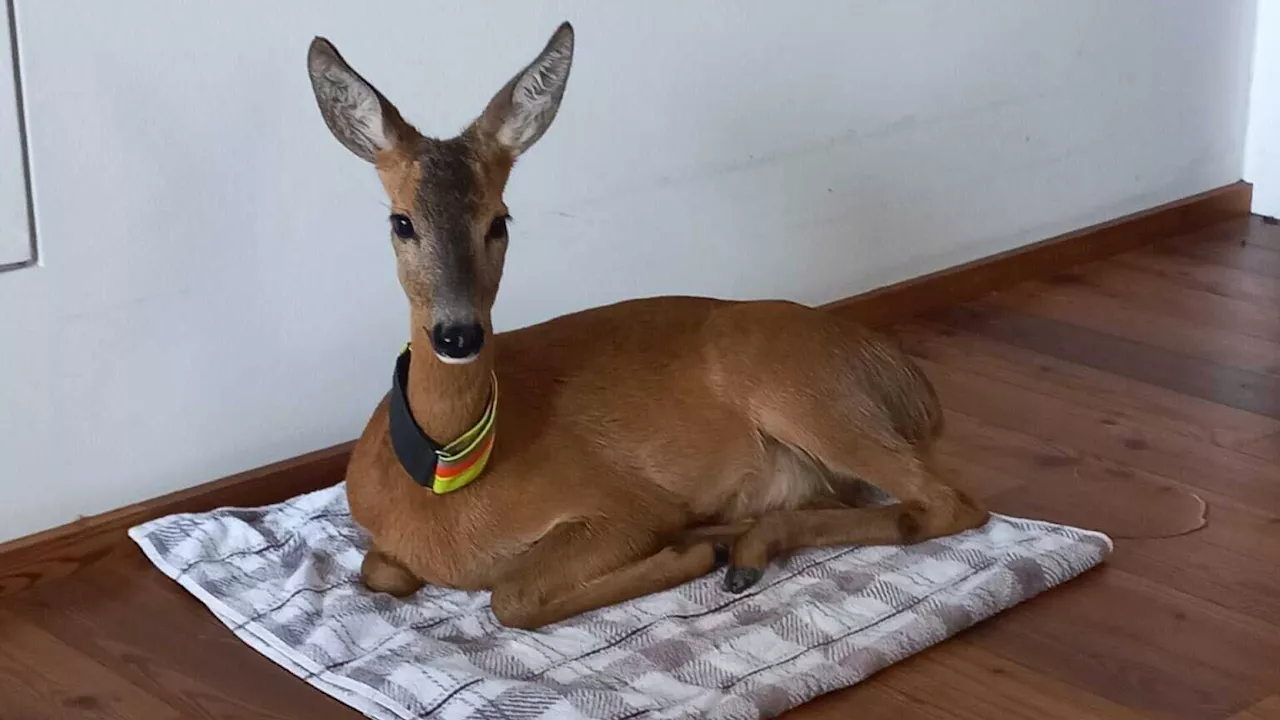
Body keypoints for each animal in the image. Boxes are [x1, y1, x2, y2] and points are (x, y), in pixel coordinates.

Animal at [307, 22, 988, 627]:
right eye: (401, 222)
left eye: (498, 221)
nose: (458, 335)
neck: (443, 485)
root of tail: (913, 387)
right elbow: (381, 572)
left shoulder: (621, 504)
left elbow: (511, 597)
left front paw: (690, 548)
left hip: (801, 391)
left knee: (948, 503)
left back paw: (735, 544)